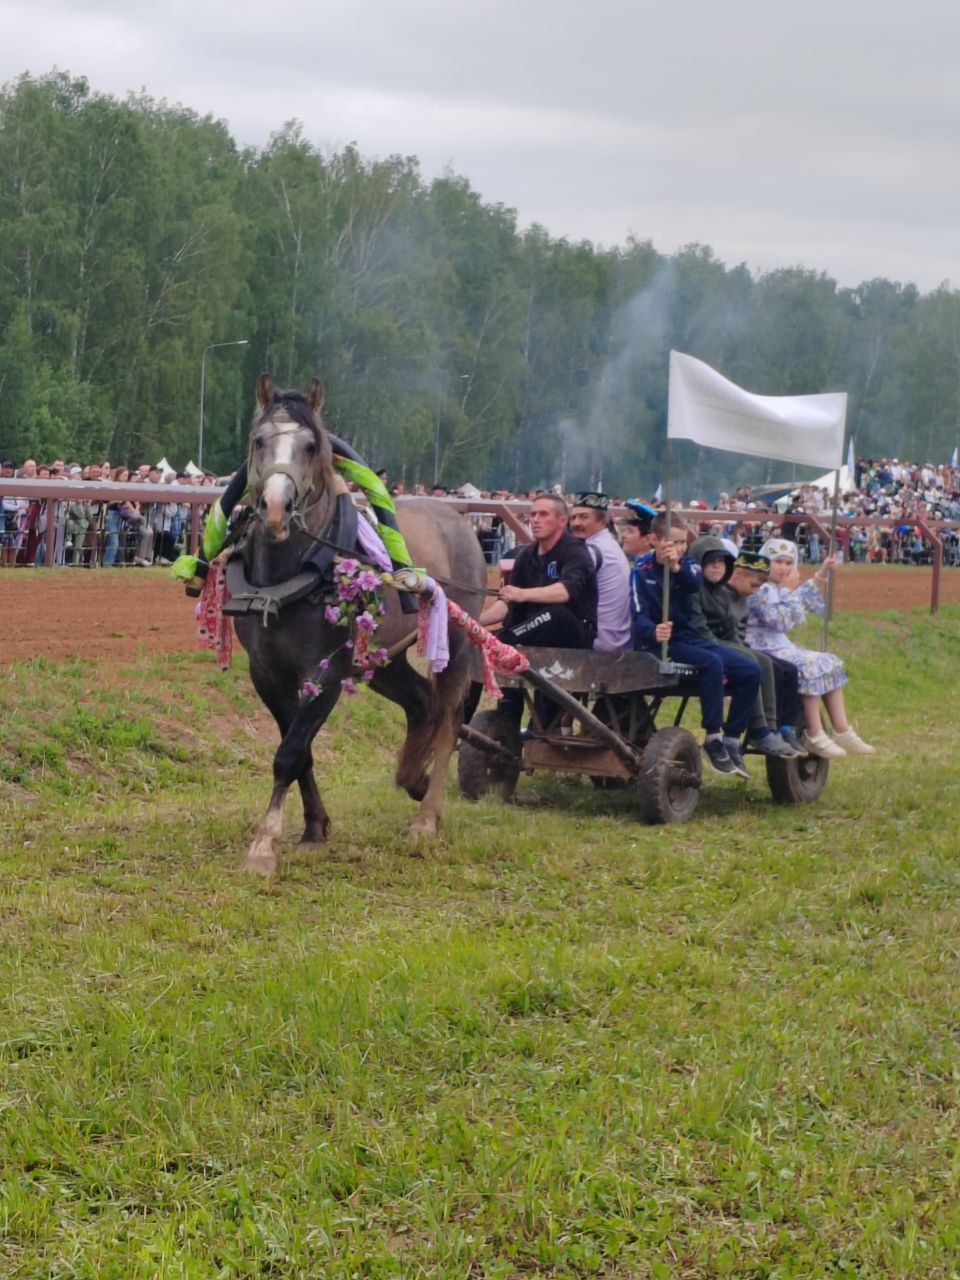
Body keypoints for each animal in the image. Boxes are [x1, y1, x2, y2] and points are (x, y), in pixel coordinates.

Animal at [234, 371, 488, 870]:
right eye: (258, 440)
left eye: (311, 445)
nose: (274, 508)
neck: (291, 573)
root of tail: (459, 521)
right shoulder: (266, 672)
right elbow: (301, 751)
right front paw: (314, 827)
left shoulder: (328, 671)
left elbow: (290, 752)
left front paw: (263, 845)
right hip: (383, 658)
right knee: (420, 702)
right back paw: (413, 778)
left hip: (457, 643)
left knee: (448, 718)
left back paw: (427, 816)